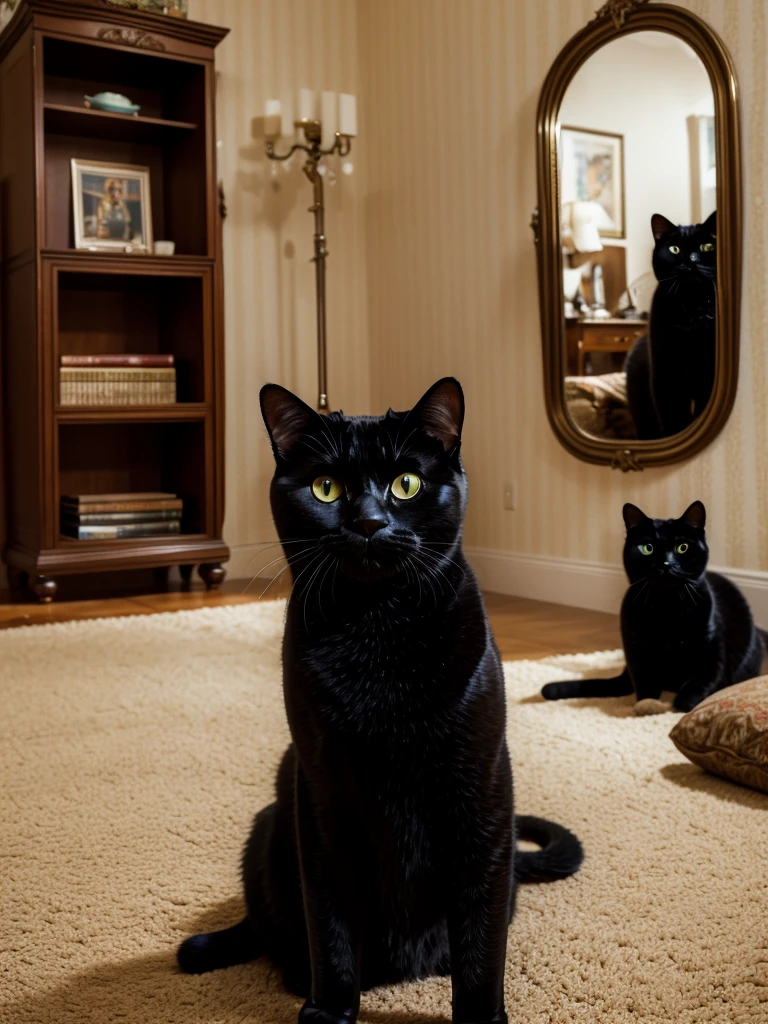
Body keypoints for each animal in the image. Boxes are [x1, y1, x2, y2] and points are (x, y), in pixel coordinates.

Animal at [177, 378, 581, 1024]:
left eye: (406, 483)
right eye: (326, 487)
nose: (369, 522)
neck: (379, 634)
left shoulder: (482, 793)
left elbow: (479, 941)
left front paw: (480, 1018)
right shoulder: (322, 795)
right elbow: (331, 927)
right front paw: (330, 1012)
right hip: (271, 822)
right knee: (271, 927)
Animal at [540, 501, 765, 712]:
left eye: (683, 547)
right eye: (647, 548)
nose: (666, 564)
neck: (667, 607)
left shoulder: (711, 652)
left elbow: (699, 683)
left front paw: (681, 706)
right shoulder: (635, 648)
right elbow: (645, 682)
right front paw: (647, 705)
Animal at [626, 211, 720, 440]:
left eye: (706, 246)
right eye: (674, 249)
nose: (692, 261)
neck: (692, 311)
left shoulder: (708, 378)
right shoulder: (665, 378)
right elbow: (675, 421)